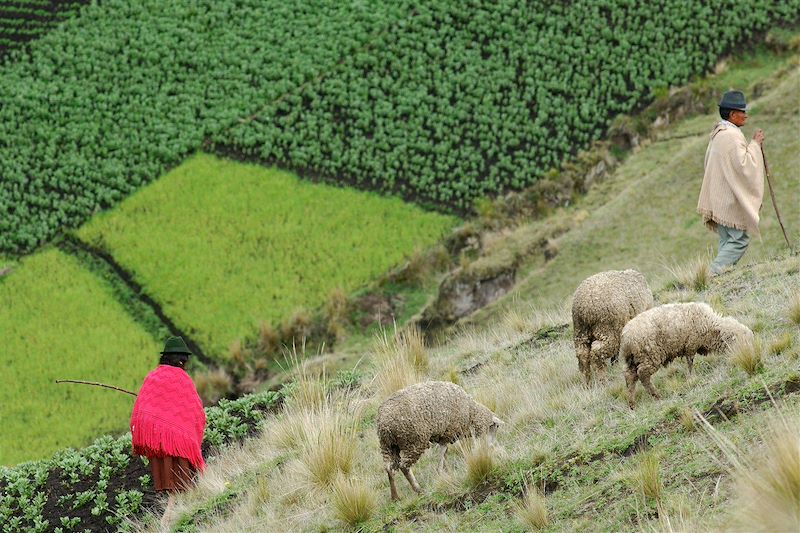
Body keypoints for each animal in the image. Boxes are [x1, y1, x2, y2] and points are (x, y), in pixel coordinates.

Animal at [620, 302, 752, 406]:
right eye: (737, 340)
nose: (748, 353)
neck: (709, 326)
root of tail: (626, 338)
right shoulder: (691, 344)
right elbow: (690, 362)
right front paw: (691, 377)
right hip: (649, 356)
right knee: (643, 375)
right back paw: (656, 395)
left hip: (634, 359)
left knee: (629, 376)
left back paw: (632, 403)